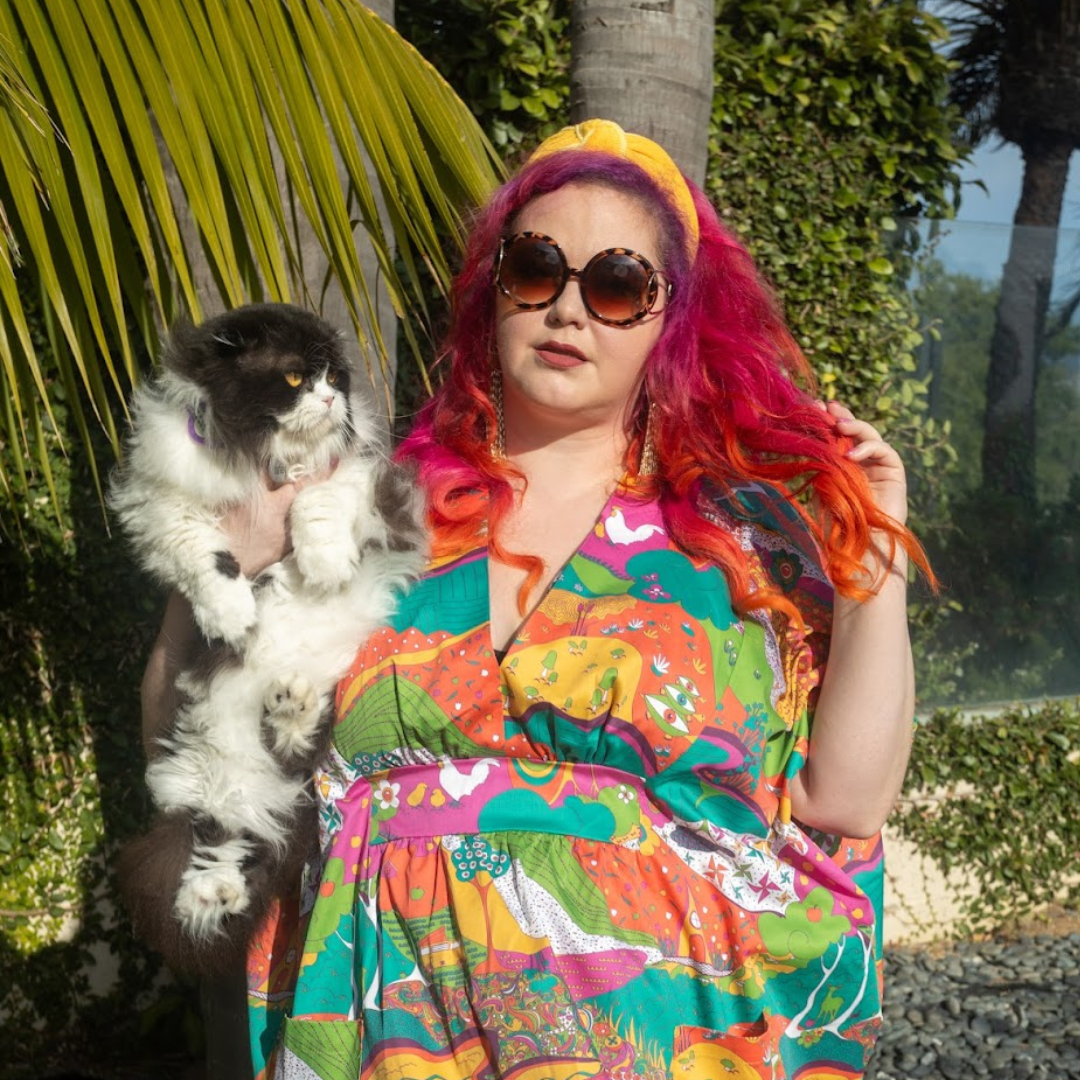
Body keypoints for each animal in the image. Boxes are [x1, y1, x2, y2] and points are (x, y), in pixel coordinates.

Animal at [111, 300, 425, 976]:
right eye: (294, 378)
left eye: (335, 375)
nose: (332, 397)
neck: (264, 456)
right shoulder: (160, 503)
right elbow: (205, 556)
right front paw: (234, 616)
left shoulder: (369, 486)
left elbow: (318, 504)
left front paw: (323, 565)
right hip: (203, 783)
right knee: (217, 854)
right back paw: (209, 894)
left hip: (293, 768)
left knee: (274, 787)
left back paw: (291, 706)